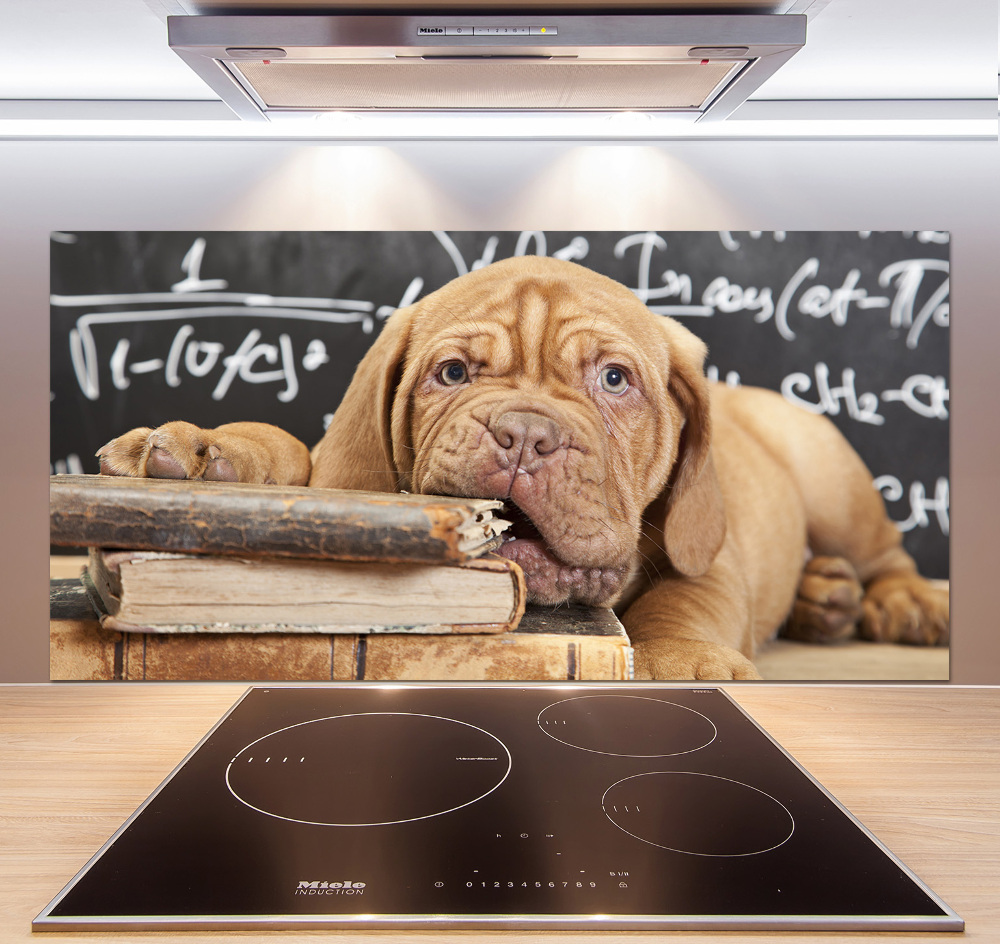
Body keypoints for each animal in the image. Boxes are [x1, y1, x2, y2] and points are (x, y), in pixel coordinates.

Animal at [97, 254, 948, 676]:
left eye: (615, 380)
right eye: (452, 374)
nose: (526, 435)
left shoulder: (712, 557)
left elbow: (685, 600)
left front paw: (683, 664)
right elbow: (299, 455)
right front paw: (203, 453)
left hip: (833, 478)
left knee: (887, 553)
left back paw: (899, 603)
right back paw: (824, 597)